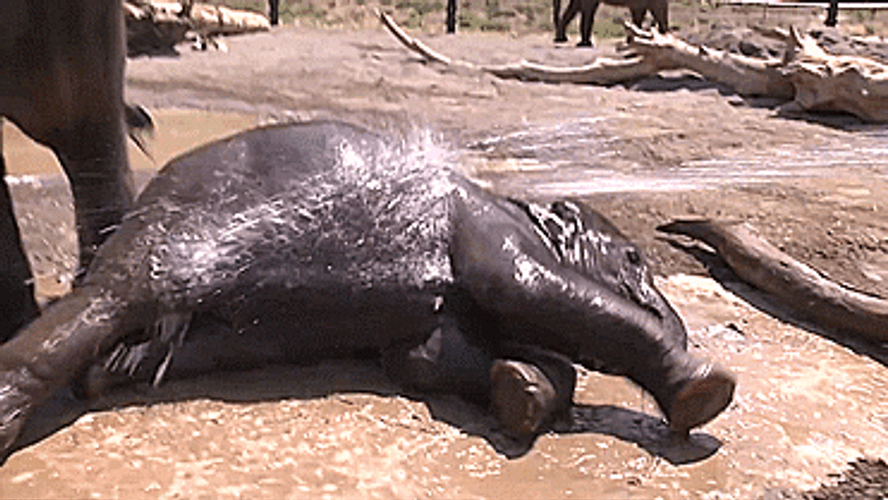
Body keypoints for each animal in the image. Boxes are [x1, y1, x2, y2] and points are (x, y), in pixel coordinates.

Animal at [0, 120, 735, 458]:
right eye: (634, 257)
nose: (677, 322)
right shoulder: (485, 225)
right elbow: (518, 286)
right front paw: (704, 389)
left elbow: (420, 358)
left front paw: (525, 391)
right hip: (173, 236)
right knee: (113, 298)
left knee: (144, 350)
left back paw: (107, 376)